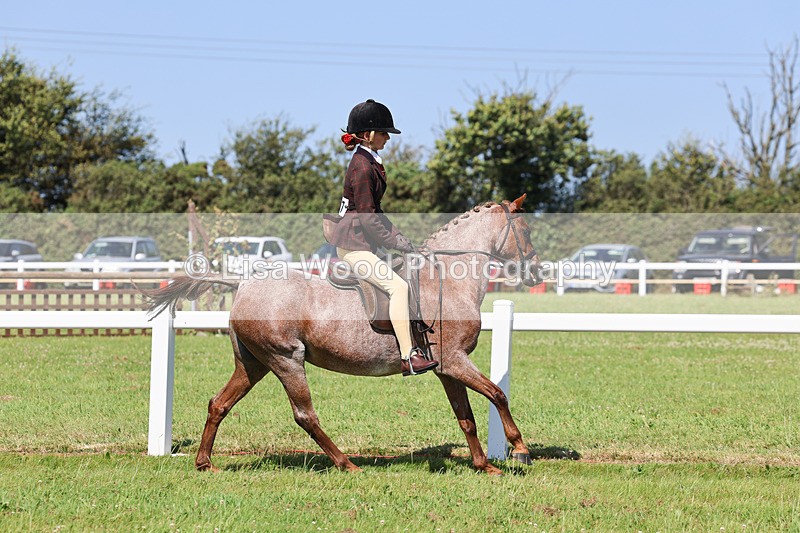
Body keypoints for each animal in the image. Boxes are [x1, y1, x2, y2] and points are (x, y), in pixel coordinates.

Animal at [145, 194, 542, 475]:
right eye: (525, 231)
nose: (537, 272)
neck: (447, 278)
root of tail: (242, 283)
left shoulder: (447, 369)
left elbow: (467, 418)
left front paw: (484, 465)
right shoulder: (456, 362)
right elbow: (498, 394)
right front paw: (520, 450)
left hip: (253, 364)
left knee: (220, 403)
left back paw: (204, 463)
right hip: (286, 359)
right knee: (305, 415)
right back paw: (346, 463)